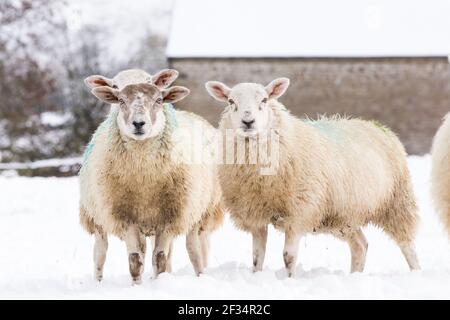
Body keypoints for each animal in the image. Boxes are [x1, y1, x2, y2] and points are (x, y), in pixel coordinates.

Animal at [80, 79, 224, 282]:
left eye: (158, 100)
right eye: (121, 100)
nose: (138, 123)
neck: (144, 178)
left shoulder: (170, 217)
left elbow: (160, 258)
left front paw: (160, 281)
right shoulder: (125, 217)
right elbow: (135, 260)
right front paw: (137, 285)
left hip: (197, 211)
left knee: (194, 249)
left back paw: (200, 274)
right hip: (97, 215)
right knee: (100, 252)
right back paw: (98, 281)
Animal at [206, 78, 420, 278]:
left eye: (264, 100)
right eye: (231, 101)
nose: (248, 121)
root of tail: (375, 126)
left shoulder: (300, 212)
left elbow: (288, 256)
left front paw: (289, 280)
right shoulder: (256, 216)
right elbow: (257, 257)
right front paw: (256, 277)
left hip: (397, 202)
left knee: (408, 246)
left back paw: (416, 272)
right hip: (344, 216)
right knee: (360, 245)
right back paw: (354, 276)